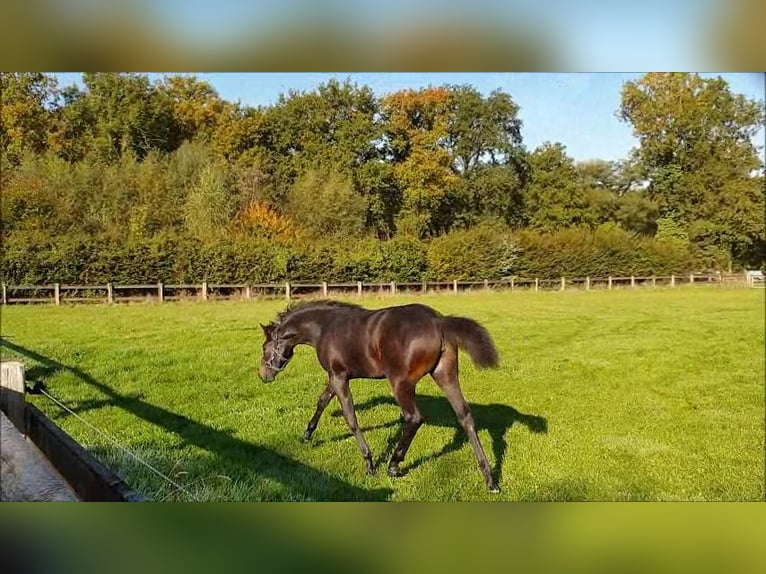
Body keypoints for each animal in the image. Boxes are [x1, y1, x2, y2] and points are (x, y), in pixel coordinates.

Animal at [260, 300, 504, 492]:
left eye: (264, 347)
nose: (263, 375)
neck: (324, 328)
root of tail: (438, 321)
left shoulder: (339, 376)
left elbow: (351, 418)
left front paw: (369, 464)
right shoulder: (334, 376)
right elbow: (322, 401)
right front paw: (307, 435)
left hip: (400, 383)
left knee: (414, 417)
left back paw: (393, 465)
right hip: (446, 375)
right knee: (465, 417)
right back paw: (490, 481)